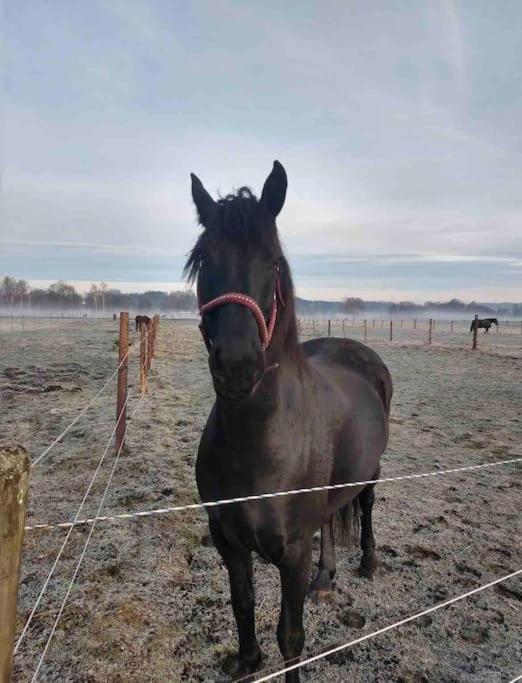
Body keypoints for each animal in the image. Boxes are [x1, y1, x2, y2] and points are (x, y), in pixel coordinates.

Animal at [185, 163, 392, 680]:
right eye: (203, 258)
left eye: (274, 261)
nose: (238, 366)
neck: (256, 444)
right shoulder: (228, 541)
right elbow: (242, 606)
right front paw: (246, 662)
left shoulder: (292, 553)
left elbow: (291, 637)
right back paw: (326, 577)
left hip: (372, 470)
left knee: (366, 505)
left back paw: (368, 561)